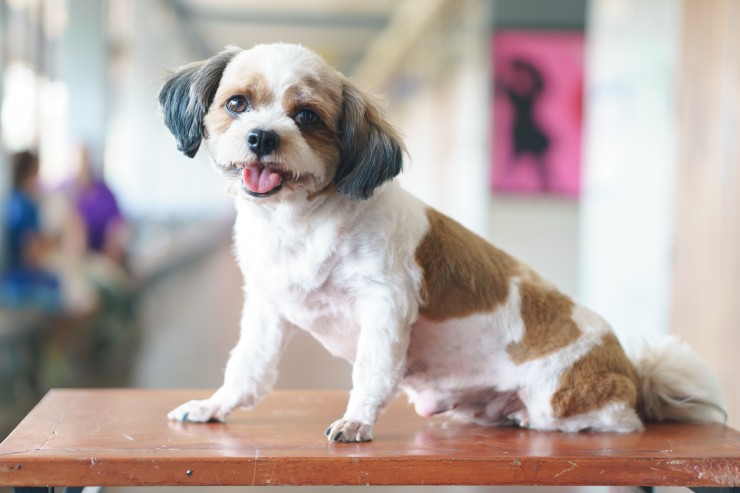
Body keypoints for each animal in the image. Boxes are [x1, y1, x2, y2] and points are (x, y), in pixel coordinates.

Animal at [159, 43, 724, 442]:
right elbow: (248, 367)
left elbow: (372, 369)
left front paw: (356, 422)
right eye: (237, 104)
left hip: (565, 398)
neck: (299, 221)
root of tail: (630, 368)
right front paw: (215, 405)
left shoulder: (386, 302)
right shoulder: (268, 306)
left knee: (619, 421)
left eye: (306, 117)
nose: (262, 137)